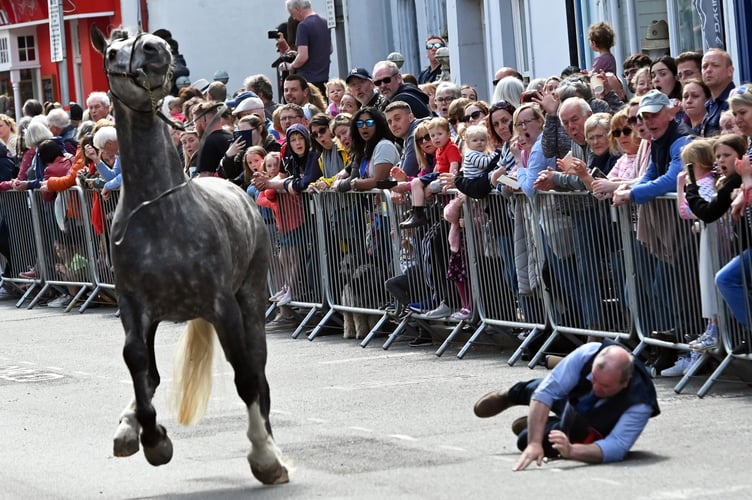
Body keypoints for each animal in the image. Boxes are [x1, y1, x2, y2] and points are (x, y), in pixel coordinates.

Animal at [89, 26, 288, 484]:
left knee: (258, 371)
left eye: (151, 44)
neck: (159, 213)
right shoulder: (134, 304)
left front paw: (264, 457)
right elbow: (137, 363)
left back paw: (272, 450)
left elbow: (246, 377)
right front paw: (151, 439)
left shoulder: (222, 306)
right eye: (112, 51)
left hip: (251, 298)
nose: (154, 49)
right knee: (150, 372)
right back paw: (129, 428)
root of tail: (235, 187)